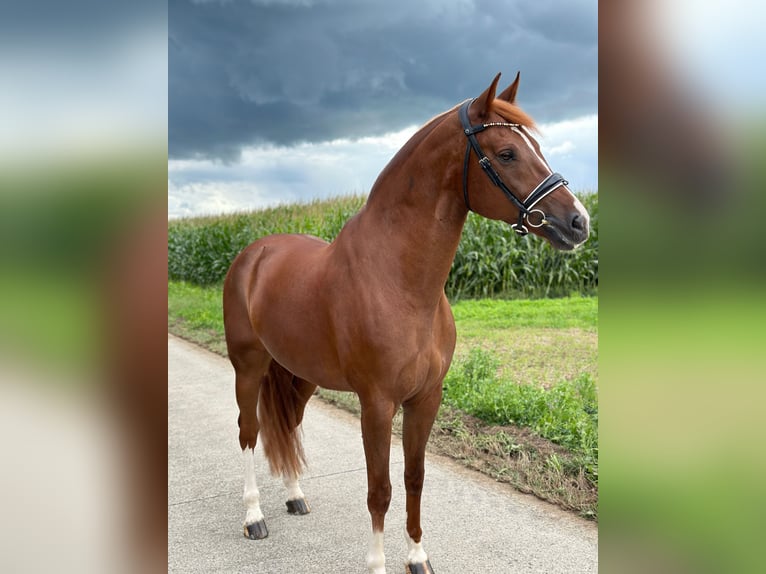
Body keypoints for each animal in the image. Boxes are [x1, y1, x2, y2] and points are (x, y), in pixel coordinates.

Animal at [224, 73, 592, 574]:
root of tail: (254, 253)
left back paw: (296, 496)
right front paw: (378, 562)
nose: (578, 222)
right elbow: (380, 489)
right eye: (506, 153)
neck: (400, 282)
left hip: (301, 375)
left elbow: (414, 477)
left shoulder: (426, 398)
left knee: (288, 423)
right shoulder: (377, 404)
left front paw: (418, 556)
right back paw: (254, 517)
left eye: (535, 146)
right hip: (249, 366)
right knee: (249, 430)